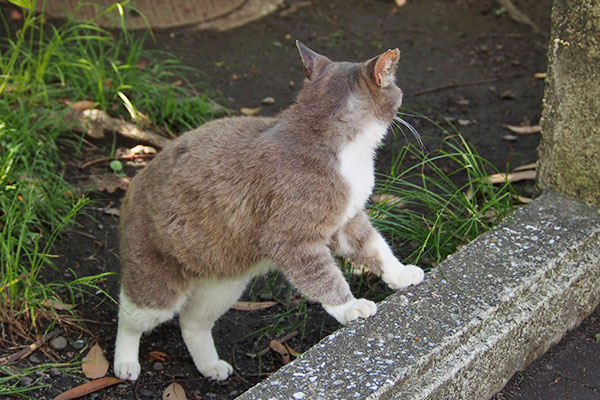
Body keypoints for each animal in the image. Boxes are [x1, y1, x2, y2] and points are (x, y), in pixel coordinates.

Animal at [111, 40, 422, 382]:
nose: (402, 98)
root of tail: (133, 183)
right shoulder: (290, 239)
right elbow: (324, 277)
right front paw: (349, 307)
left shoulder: (348, 221)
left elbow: (377, 247)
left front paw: (400, 274)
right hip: (157, 286)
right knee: (129, 315)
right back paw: (125, 364)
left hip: (223, 285)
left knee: (192, 323)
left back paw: (210, 366)